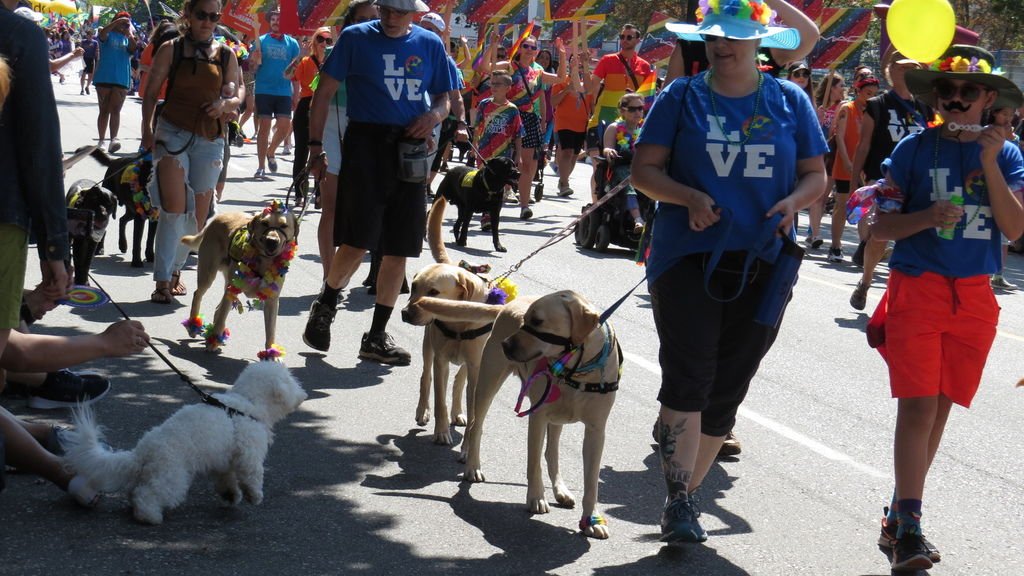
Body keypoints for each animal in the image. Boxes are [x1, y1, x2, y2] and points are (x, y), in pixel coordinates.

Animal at [61, 360, 303, 522]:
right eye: (290, 380)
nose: (303, 394)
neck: (246, 404)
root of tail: (142, 452)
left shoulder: (224, 462)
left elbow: (226, 480)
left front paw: (231, 496)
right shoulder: (249, 453)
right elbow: (252, 475)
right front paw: (255, 496)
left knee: (135, 491)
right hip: (173, 477)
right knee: (146, 495)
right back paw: (149, 516)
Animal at [180, 201, 299, 354]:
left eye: (284, 226)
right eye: (265, 223)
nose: (272, 241)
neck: (264, 262)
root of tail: (216, 219)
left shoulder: (272, 300)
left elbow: (270, 330)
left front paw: (271, 353)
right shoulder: (232, 290)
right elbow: (221, 317)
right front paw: (213, 342)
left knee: (218, 308)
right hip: (208, 273)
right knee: (198, 295)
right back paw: (194, 325)